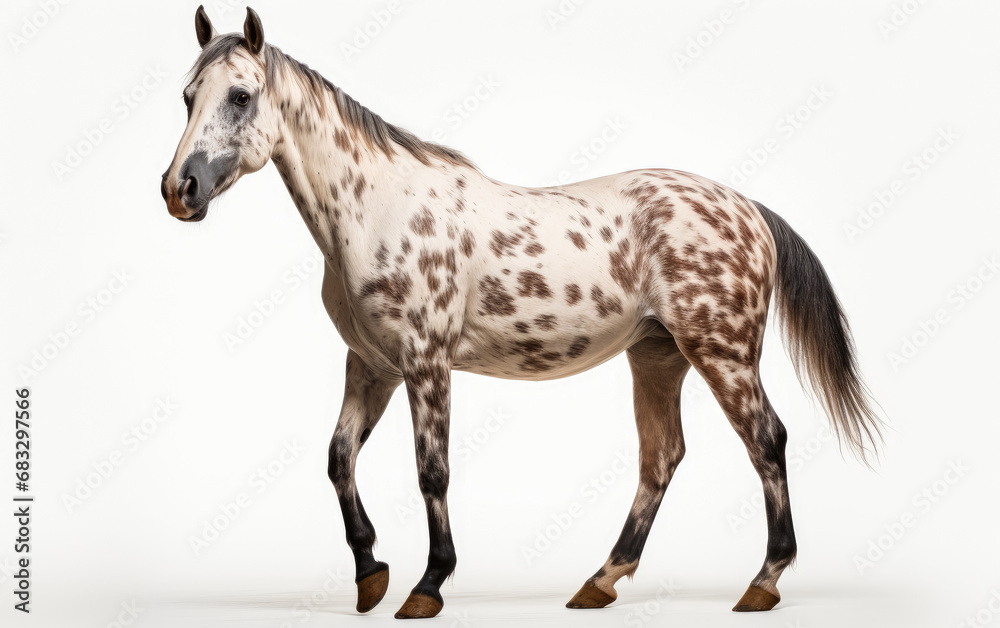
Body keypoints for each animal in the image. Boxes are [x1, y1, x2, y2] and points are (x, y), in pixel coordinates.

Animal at [161, 6, 883, 619]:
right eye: (188, 96)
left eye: (241, 95)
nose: (179, 189)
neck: (376, 210)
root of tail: (747, 209)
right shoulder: (372, 365)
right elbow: (340, 459)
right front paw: (370, 575)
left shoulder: (425, 363)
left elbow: (431, 471)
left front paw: (428, 586)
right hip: (658, 356)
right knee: (662, 457)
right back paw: (600, 582)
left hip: (722, 352)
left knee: (766, 440)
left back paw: (762, 583)